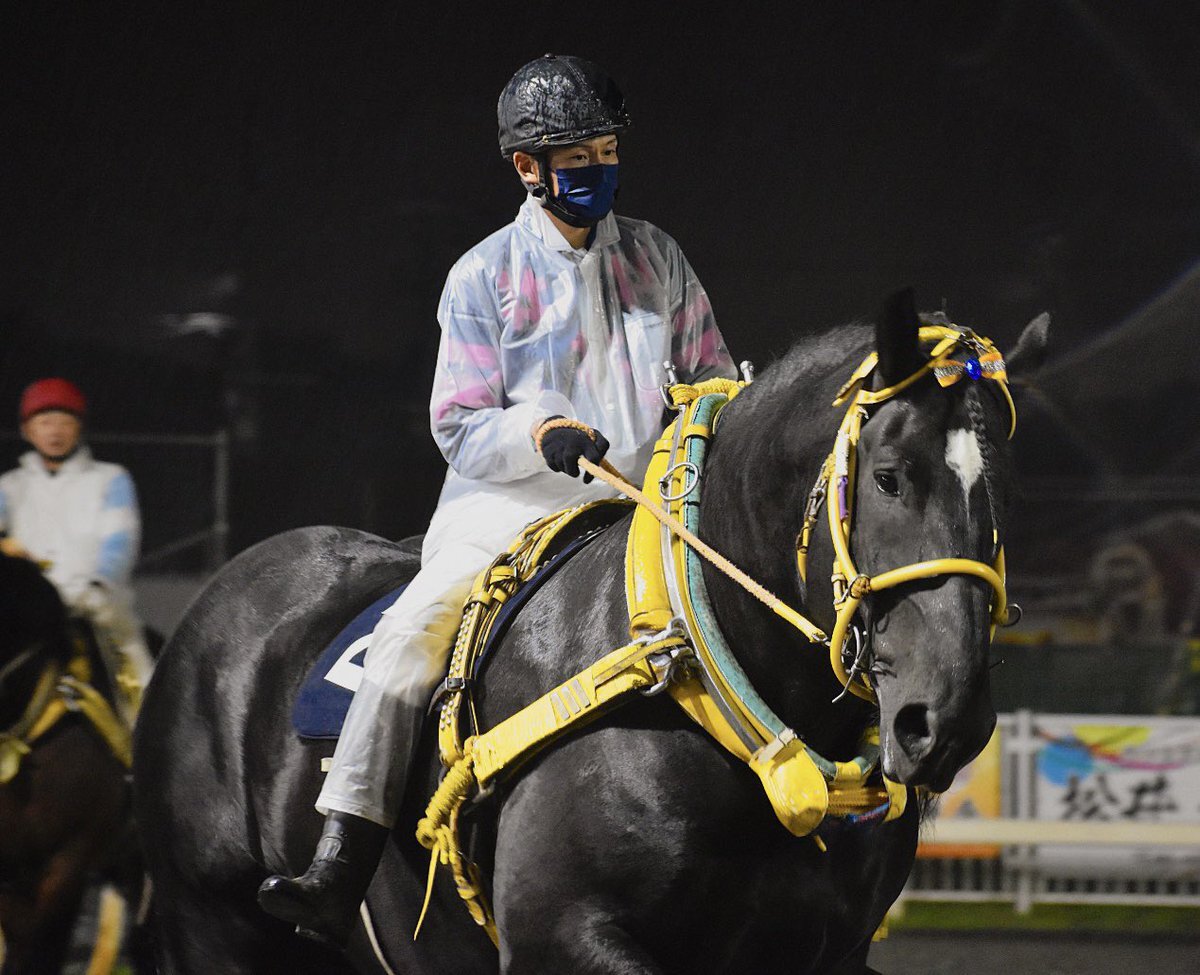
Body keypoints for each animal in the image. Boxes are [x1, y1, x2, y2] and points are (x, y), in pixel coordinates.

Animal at [132, 290, 1049, 974]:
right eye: (890, 477)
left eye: (1005, 490)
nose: (947, 719)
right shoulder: (563, 935)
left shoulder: (826, 951)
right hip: (209, 924)